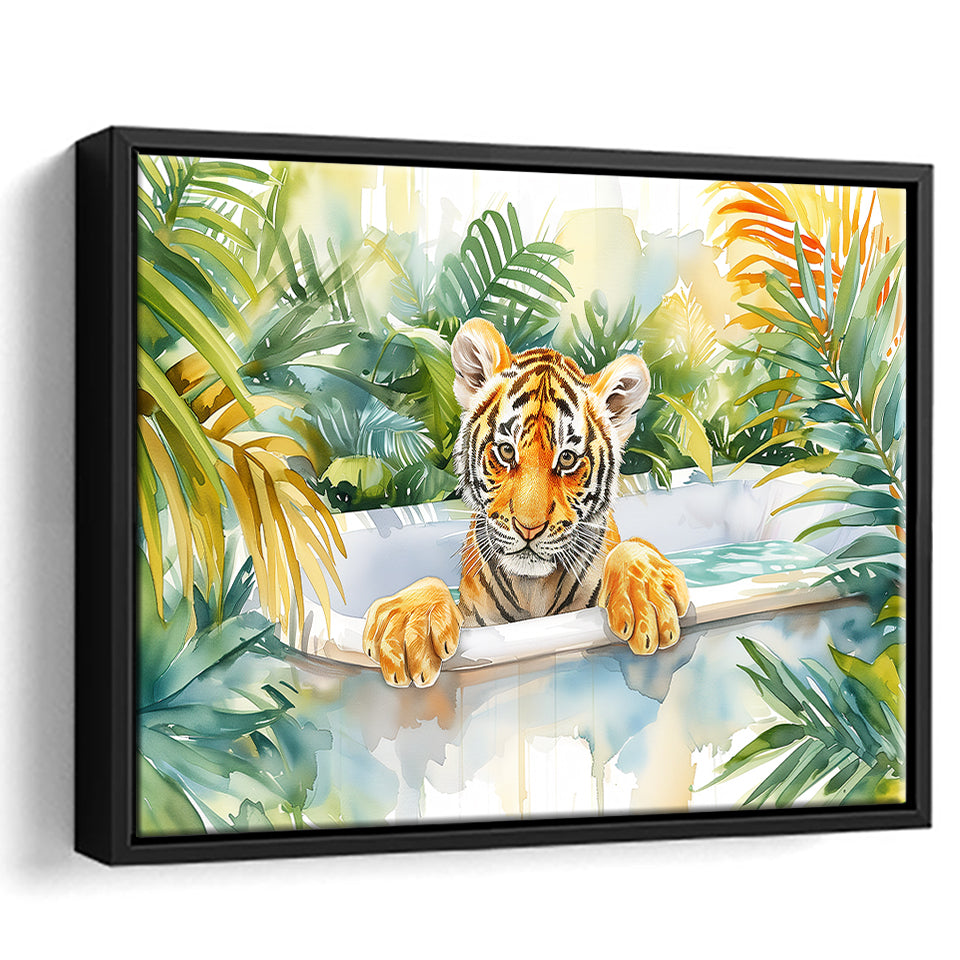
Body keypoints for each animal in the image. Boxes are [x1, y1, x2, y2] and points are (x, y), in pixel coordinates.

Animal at [361, 317, 690, 687]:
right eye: (507, 451)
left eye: (567, 459)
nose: (528, 528)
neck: (532, 590)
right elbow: (429, 584)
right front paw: (408, 623)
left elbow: (631, 548)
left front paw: (648, 598)